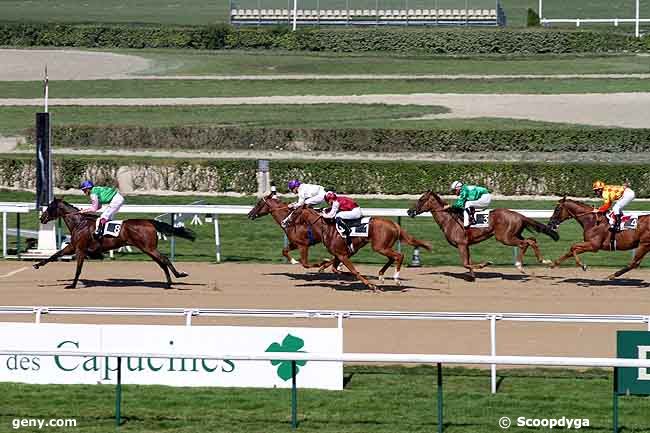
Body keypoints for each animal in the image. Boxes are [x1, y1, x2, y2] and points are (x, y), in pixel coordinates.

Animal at [33, 198, 194, 286]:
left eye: (50, 207)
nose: (42, 218)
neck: (80, 223)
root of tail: (149, 222)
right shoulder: (73, 246)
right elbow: (54, 255)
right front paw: (37, 264)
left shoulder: (80, 249)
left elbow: (78, 268)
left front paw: (72, 285)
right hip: (147, 248)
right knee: (161, 262)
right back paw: (169, 282)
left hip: (148, 247)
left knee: (164, 259)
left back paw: (178, 275)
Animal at [288, 205, 430, 290]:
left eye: (294, 212)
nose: (285, 221)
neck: (327, 228)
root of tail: (394, 224)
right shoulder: (343, 253)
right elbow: (335, 267)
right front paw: (324, 266)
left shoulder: (342, 254)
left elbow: (353, 271)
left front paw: (371, 285)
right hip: (384, 246)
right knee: (392, 258)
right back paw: (381, 275)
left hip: (379, 247)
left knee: (399, 255)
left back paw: (396, 279)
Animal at [408, 190, 556, 278]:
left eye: (421, 199)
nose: (409, 211)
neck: (449, 220)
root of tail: (519, 215)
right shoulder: (466, 245)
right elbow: (468, 262)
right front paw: (473, 274)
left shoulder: (461, 244)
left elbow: (465, 263)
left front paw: (484, 264)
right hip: (514, 234)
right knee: (532, 240)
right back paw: (544, 261)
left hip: (504, 237)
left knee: (524, 243)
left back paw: (520, 266)